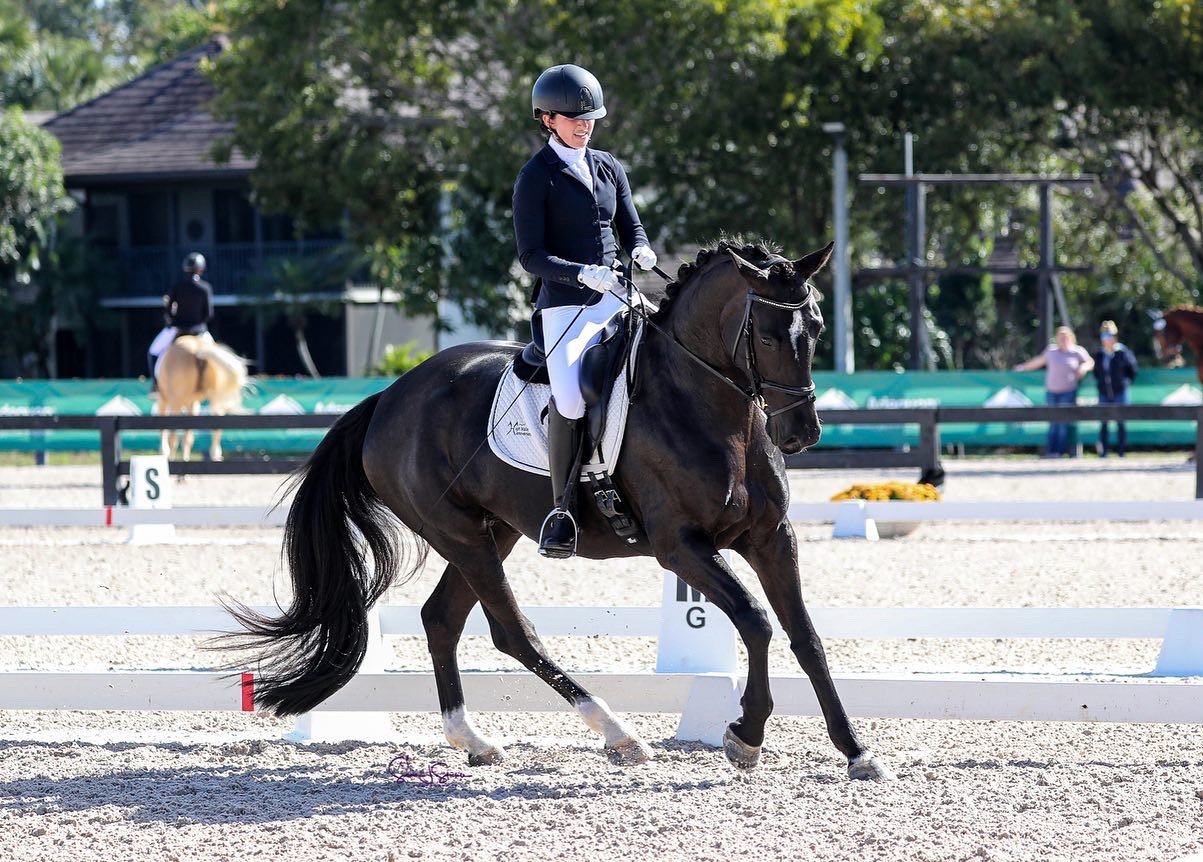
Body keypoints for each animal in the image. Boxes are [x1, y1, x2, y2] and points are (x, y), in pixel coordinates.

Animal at [223, 240, 894, 782]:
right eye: (769, 335)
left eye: (816, 327)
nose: (801, 433)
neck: (708, 407)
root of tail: (391, 394)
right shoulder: (681, 546)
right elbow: (755, 622)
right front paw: (744, 737)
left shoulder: (772, 537)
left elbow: (806, 637)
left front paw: (857, 752)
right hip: (461, 536)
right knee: (511, 631)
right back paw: (619, 735)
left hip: (493, 533)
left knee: (442, 619)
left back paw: (474, 740)